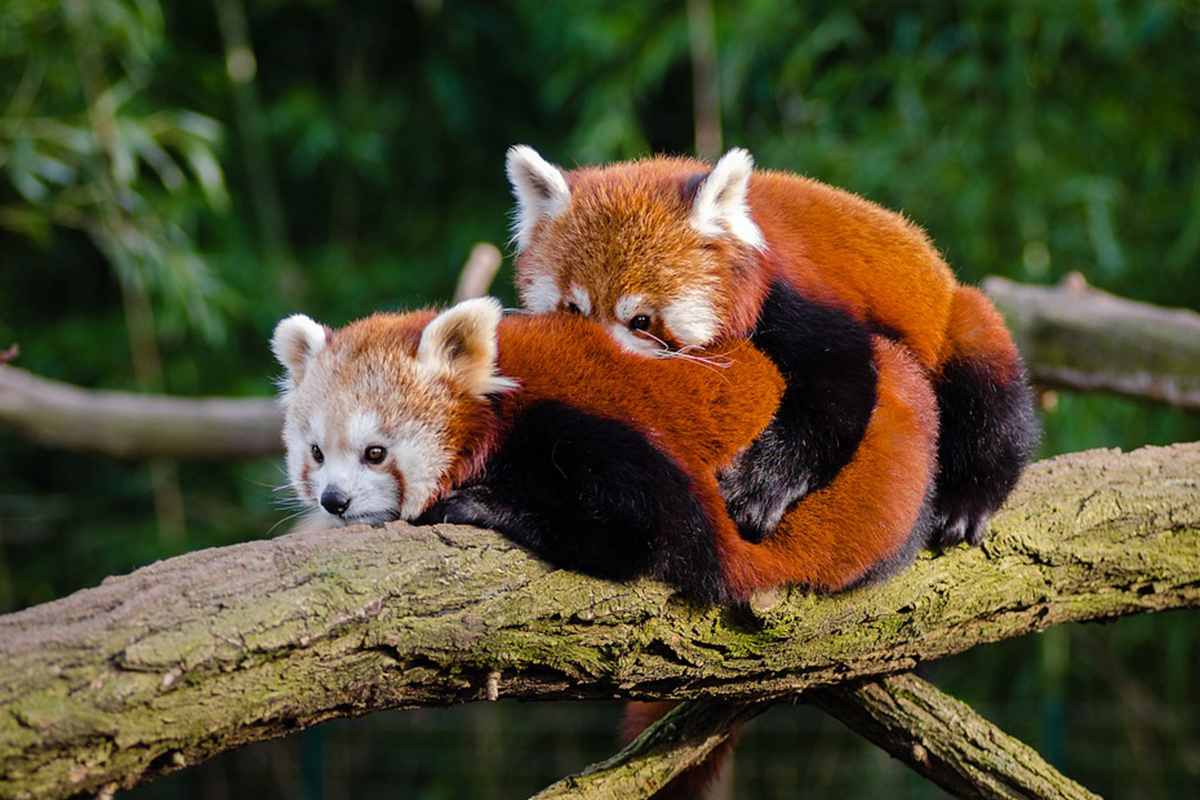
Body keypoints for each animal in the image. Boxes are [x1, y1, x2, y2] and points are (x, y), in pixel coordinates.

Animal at [272, 297, 936, 604]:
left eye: (375, 452)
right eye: (316, 453)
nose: (334, 501)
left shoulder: (590, 430)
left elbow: (641, 533)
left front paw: (475, 504)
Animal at [506, 145, 1041, 551]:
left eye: (640, 320)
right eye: (574, 311)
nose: (599, 363)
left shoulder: (793, 297)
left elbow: (835, 394)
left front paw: (758, 491)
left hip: (961, 323)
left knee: (989, 391)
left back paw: (967, 502)